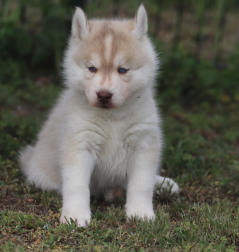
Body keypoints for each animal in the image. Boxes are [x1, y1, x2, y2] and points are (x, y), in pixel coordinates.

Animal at [19, 5, 178, 226]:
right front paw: (75, 216)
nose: (104, 94)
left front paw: (140, 213)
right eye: (92, 68)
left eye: (123, 70)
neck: (112, 118)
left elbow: (141, 184)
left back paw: (163, 184)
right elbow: (77, 186)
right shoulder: (80, 144)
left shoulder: (144, 144)